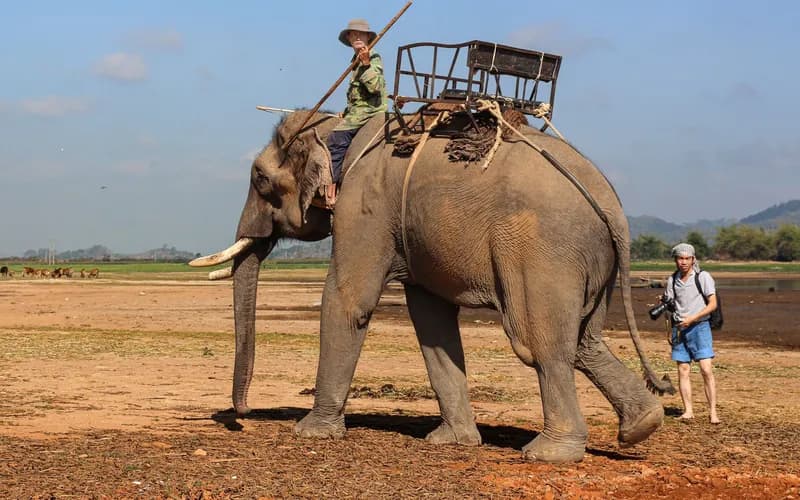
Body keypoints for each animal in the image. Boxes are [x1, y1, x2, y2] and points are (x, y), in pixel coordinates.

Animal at [192, 108, 675, 463]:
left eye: (259, 179)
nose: (244, 413)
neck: (337, 124)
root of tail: (612, 206)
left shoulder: (363, 206)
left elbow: (349, 300)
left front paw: (311, 433)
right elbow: (431, 319)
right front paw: (453, 442)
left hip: (542, 250)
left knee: (540, 344)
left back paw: (548, 454)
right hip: (590, 259)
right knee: (584, 341)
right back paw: (641, 426)